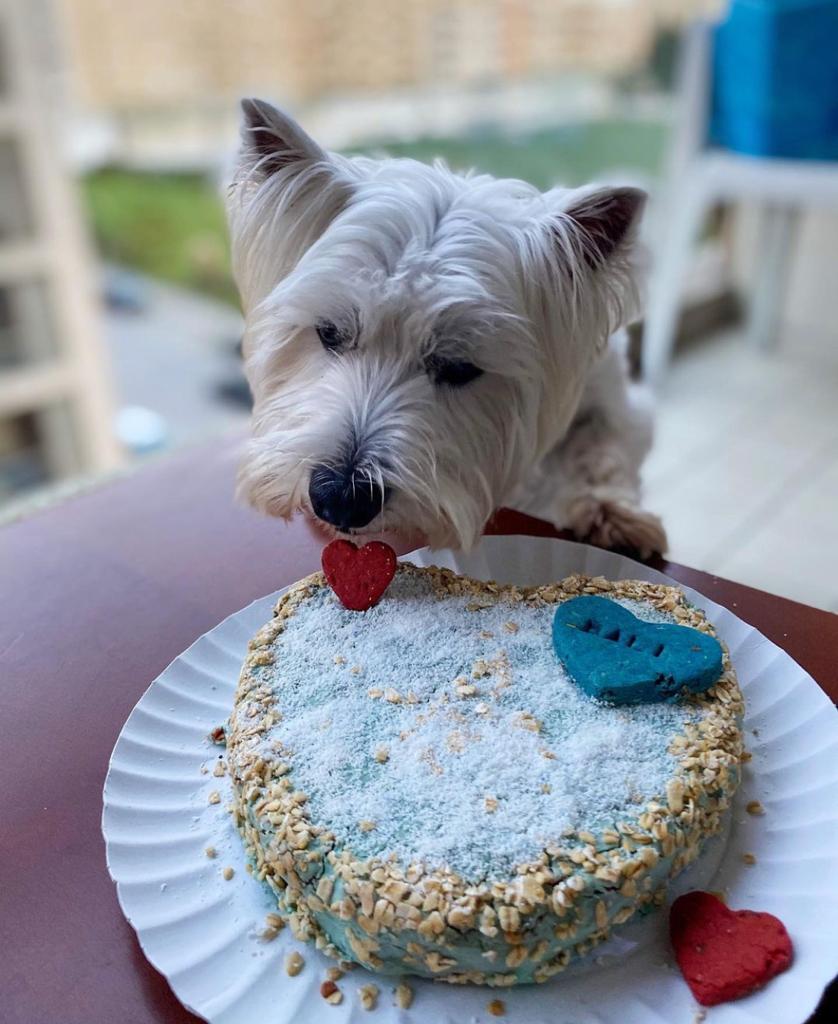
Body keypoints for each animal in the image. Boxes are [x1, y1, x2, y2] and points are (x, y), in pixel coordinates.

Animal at [227, 99, 667, 557]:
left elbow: (604, 446)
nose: (340, 499)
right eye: (328, 332)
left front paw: (611, 514)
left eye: (459, 367)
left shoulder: (616, 401)